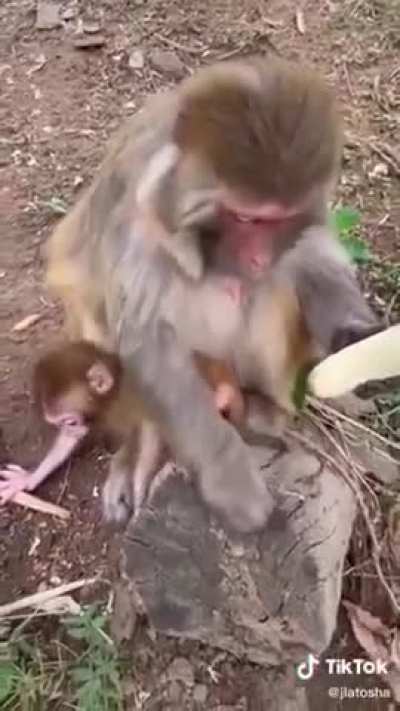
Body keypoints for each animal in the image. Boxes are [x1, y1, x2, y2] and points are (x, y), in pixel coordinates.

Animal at [0, 341, 245, 508]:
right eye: (64, 425)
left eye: (70, 421)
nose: (71, 429)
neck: (113, 394)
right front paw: (29, 479)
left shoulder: (136, 399)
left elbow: (150, 429)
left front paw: (139, 488)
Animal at [43, 56, 381, 534]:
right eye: (246, 218)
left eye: (280, 219)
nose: (258, 257)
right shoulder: (139, 216)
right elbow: (147, 338)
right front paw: (228, 479)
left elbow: (310, 252)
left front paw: (354, 336)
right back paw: (145, 446)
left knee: (271, 286)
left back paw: (261, 407)